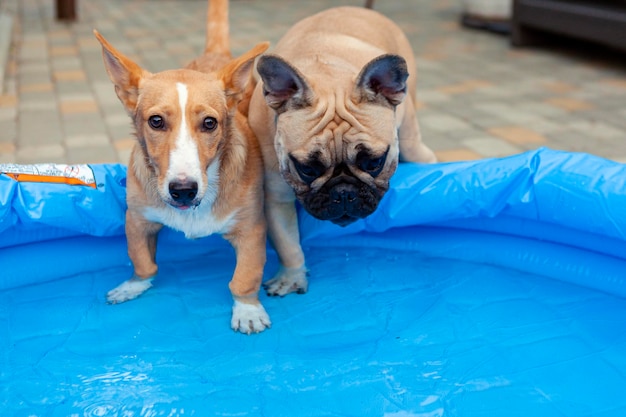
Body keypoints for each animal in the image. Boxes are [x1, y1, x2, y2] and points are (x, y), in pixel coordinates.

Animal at [94, 0, 270, 334]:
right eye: (156, 121)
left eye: (210, 123)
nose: (184, 191)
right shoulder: (136, 219)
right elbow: (142, 261)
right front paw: (134, 285)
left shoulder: (251, 230)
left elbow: (244, 277)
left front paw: (247, 310)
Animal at [246, 8, 432, 298]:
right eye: (307, 169)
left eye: (374, 162)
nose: (344, 192)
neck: (328, 78)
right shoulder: (276, 198)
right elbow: (288, 244)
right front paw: (292, 276)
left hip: (412, 138)